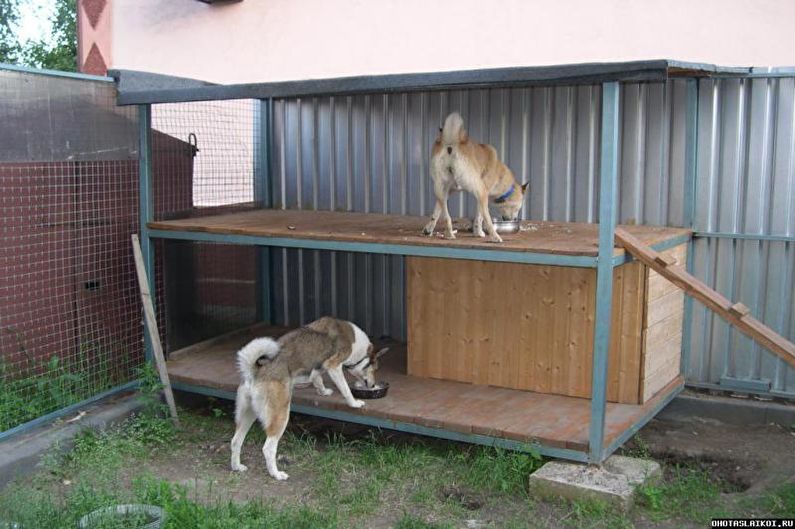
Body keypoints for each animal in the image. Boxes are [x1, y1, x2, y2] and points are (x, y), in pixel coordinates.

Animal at [229, 316, 388, 480]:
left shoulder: (318, 369)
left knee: (235, 441)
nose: (373, 385)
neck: (356, 344)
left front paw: (323, 392)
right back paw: (277, 474)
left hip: (248, 415)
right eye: (375, 369)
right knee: (268, 448)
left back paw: (237, 467)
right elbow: (345, 389)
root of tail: (254, 371)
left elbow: (318, 379)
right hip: (281, 414)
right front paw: (354, 403)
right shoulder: (333, 366)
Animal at [422, 112, 528, 244]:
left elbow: (436, 211)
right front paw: (479, 232)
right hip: (478, 189)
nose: (513, 219)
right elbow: (479, 217)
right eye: (518, 207)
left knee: (447, 215)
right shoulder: (482, 195)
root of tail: (452, 142)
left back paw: (449, 233)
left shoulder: (448, 191)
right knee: (487, 219)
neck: (499, 175)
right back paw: (495, 237)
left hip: (439, 188)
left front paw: (428, 229)